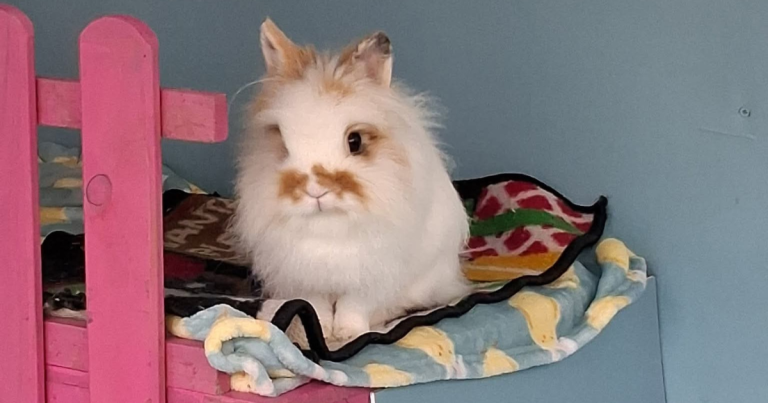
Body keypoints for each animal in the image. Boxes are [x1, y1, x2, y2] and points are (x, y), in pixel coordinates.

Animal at [232, 19, 470, 342]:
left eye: (354, 141)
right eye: (283, 143)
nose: (315, 189)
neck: (329, 226)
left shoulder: (373, 274)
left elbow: (355, 306)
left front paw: (348, 334)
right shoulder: (304, 276)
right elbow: (314, 306)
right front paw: (319, 329)